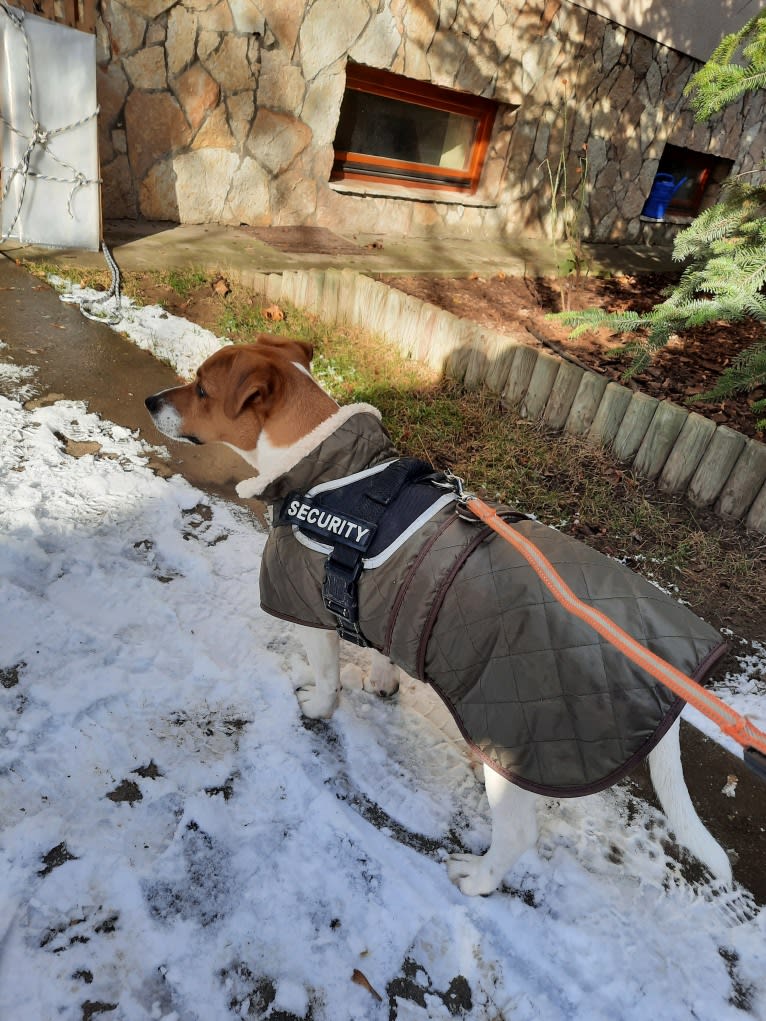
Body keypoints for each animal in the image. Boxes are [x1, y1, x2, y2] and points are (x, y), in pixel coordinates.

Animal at [147, 334, 735, 894]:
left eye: (202, 389)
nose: (152, 401)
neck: (322, 465)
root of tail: (675, 677)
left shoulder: (311, 615)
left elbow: (328, 680)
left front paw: (315, 707)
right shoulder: (379, 602)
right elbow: (382, 648)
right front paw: (382, 682)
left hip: (518, 736)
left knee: (518, 833)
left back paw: (479, 879)